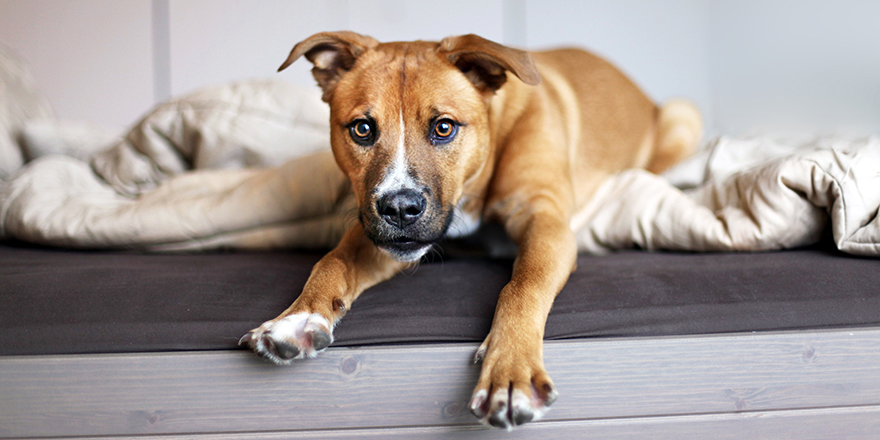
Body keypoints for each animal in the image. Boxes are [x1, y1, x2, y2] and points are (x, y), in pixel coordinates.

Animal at [239, 31, 700, 430]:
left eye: (444, 127)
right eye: (362, 129)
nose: (399, 209)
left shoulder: (546, 221)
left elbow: (522, 285)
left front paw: (510, 371)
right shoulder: (382, 238)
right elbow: (332, 261)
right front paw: (297, 317)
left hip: (683, 115)